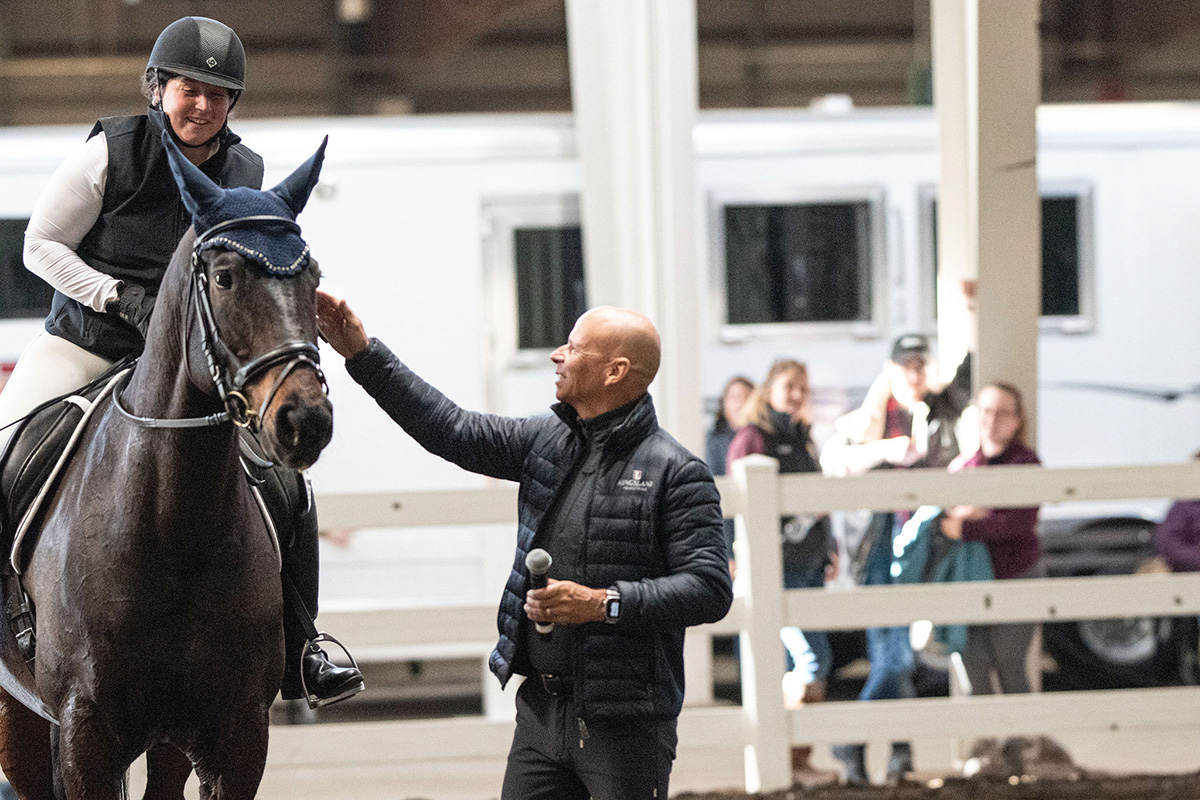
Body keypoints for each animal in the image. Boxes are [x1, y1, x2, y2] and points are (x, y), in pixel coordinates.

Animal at [0, 134, 333, 796]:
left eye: (313, 277)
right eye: (225, 278)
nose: (305, 421)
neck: (170, 522)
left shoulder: (236, 737)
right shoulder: (85, 736)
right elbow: (44, 241)